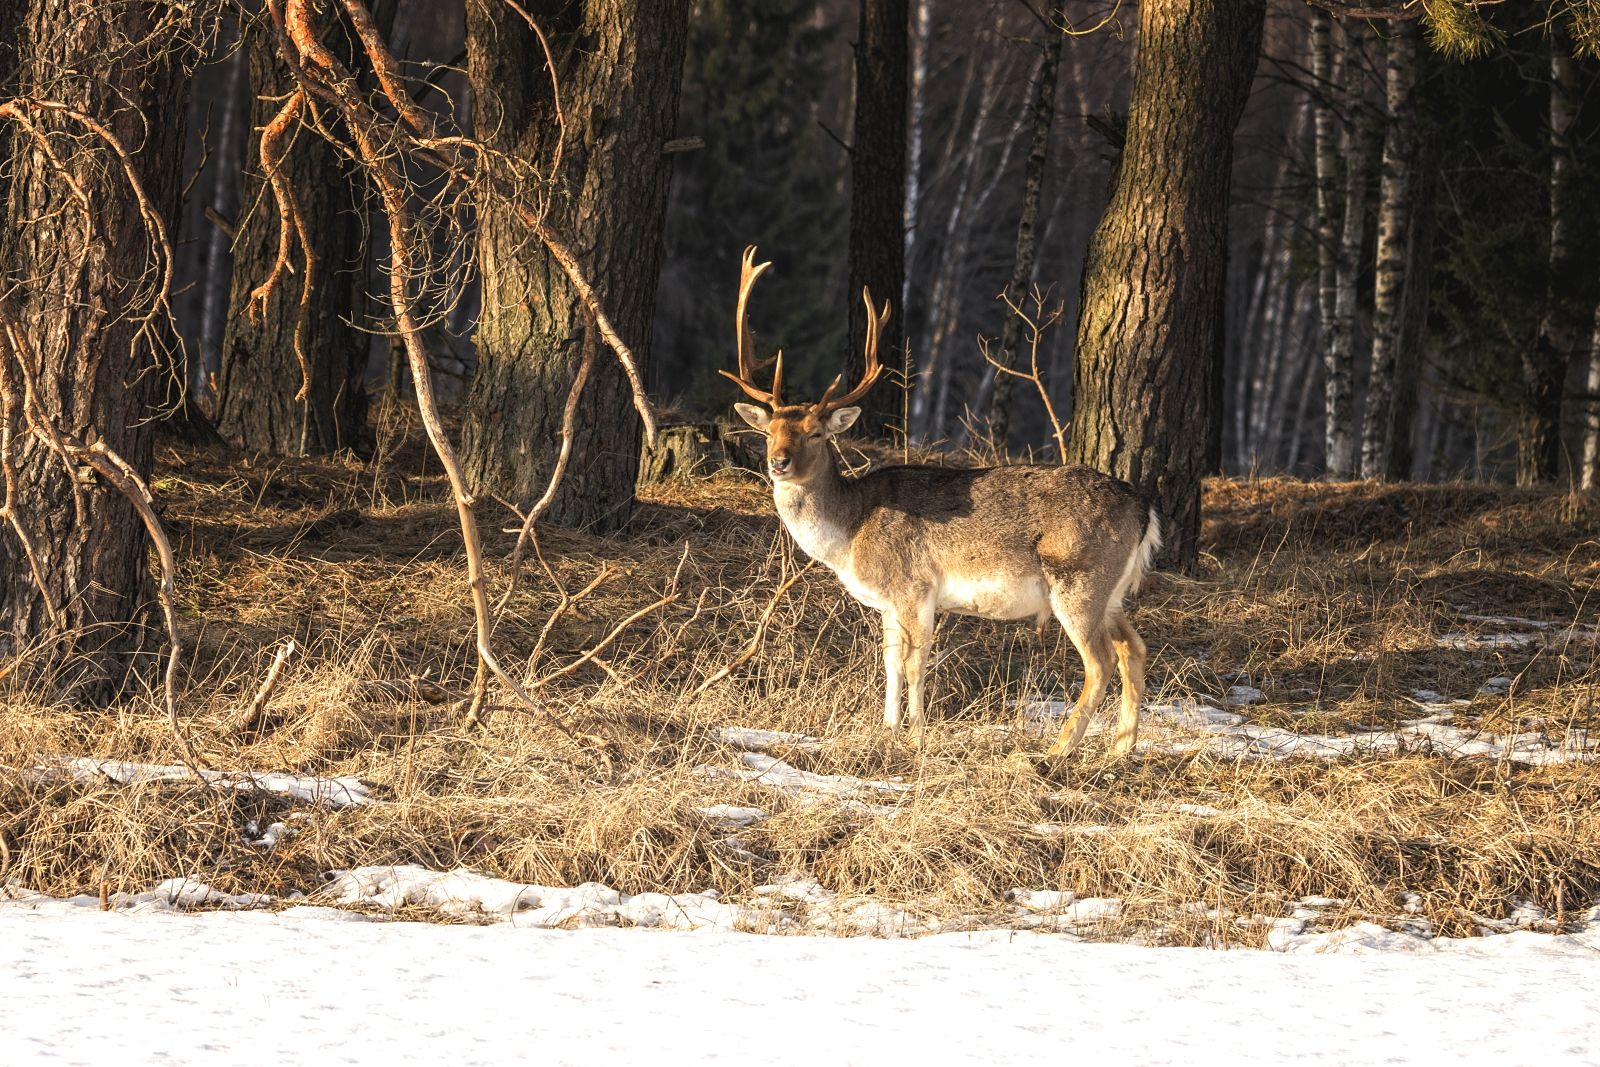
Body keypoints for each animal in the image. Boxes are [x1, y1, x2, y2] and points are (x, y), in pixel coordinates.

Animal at [729, 246, 1164, 755]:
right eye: (769, 431)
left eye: (816, 434)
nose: (778, 462)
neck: (850, 535)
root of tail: (1144, 508)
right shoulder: (888, 604)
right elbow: (890, 664)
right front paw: (888, 729)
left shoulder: (915, 586)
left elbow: (915, 664)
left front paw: (917, 736)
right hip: (1112, 592)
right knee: (1134, 648)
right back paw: (1120, 748)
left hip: (1079, 578)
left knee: (1101, 661)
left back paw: (1058, 751)